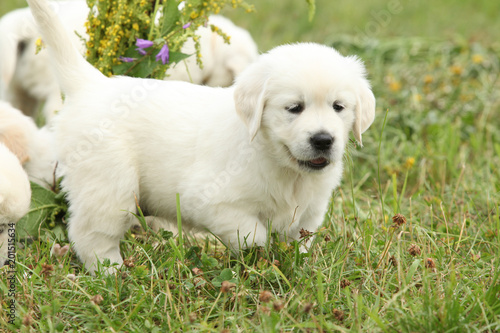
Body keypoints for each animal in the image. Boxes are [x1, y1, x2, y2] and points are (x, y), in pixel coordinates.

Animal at [27, 0, 376, 272]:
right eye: (294, 108)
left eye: (339, 107)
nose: (323, 140)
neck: (285, 169)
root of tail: (92, 84)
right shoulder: (212, 200)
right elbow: (254, 233)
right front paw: (261, 261)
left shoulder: (311, 211)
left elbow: (299, 243)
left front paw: (296, 267)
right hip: (109, 185)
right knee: (90, 235)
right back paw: (112, 273)